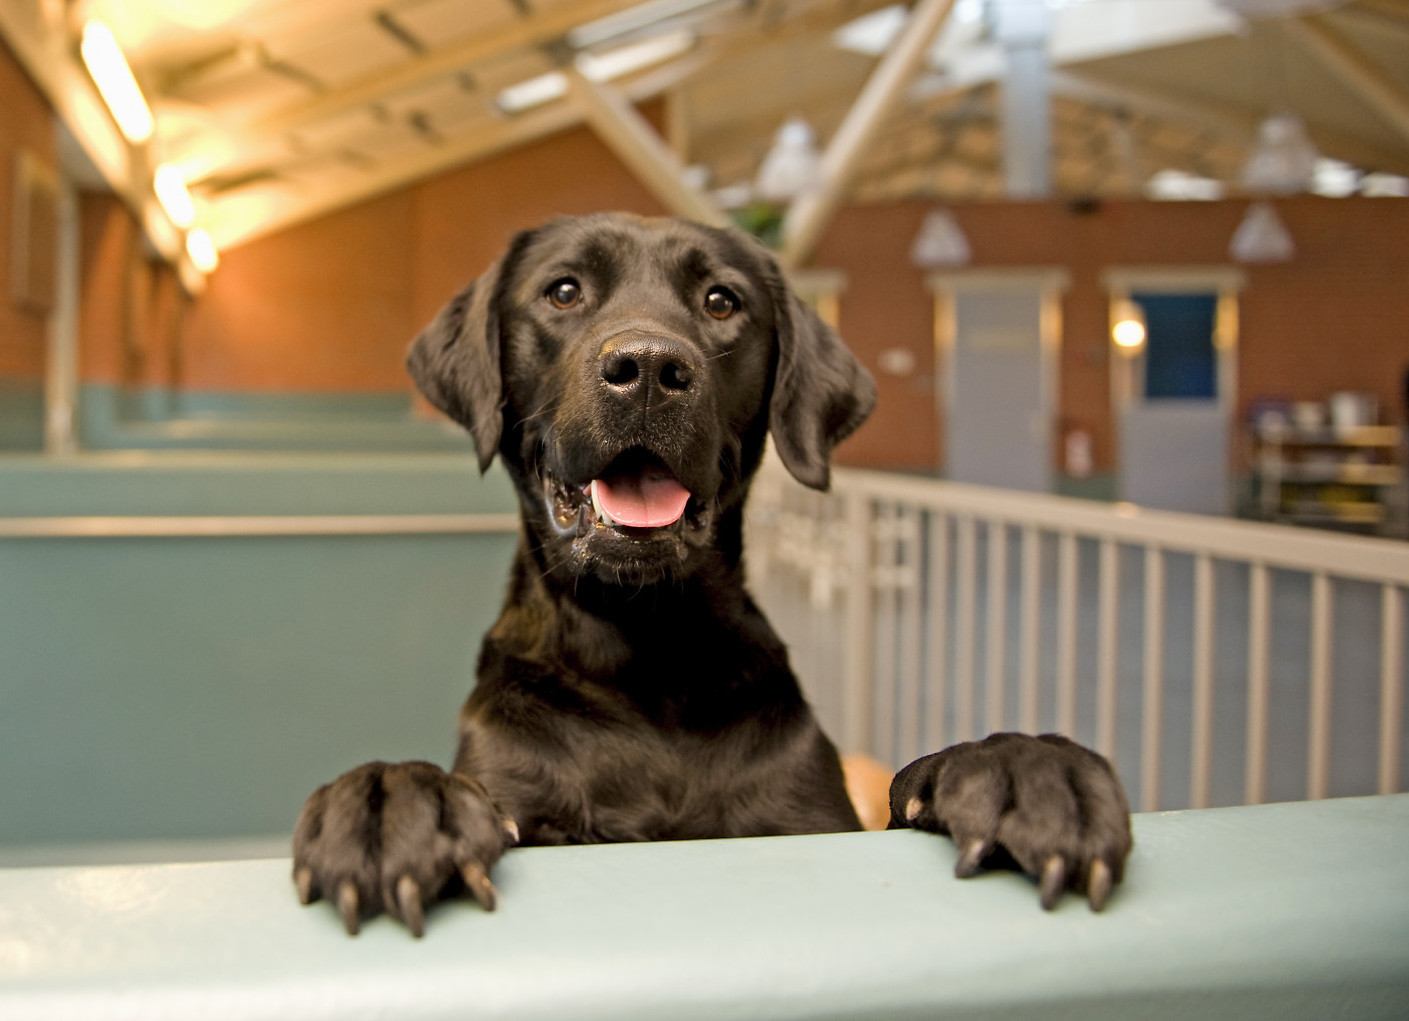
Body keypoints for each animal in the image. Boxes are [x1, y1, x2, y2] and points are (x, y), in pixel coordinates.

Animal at [294, 211, 1132, 935]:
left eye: (721, 301)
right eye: (563, 291)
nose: (648, 369)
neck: (646, 650)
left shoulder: (813, 820)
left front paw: (1020, 765)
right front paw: (394, 798)